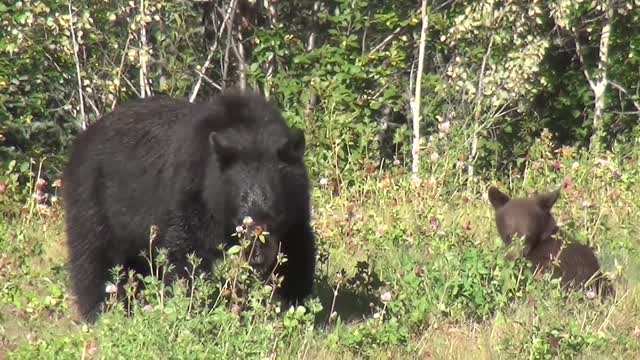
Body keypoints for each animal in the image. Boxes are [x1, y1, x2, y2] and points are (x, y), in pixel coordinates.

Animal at [61, 92, 316, 320]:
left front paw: (295, 304)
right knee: (92, 255)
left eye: (275, 217)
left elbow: (297, 246)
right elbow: (187, 249)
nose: (257, 258)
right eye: (240, 221)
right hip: (92, 197)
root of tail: (81, 139)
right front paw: (192, 305)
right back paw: (98, 311)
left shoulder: (296, 205)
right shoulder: (193, 187)